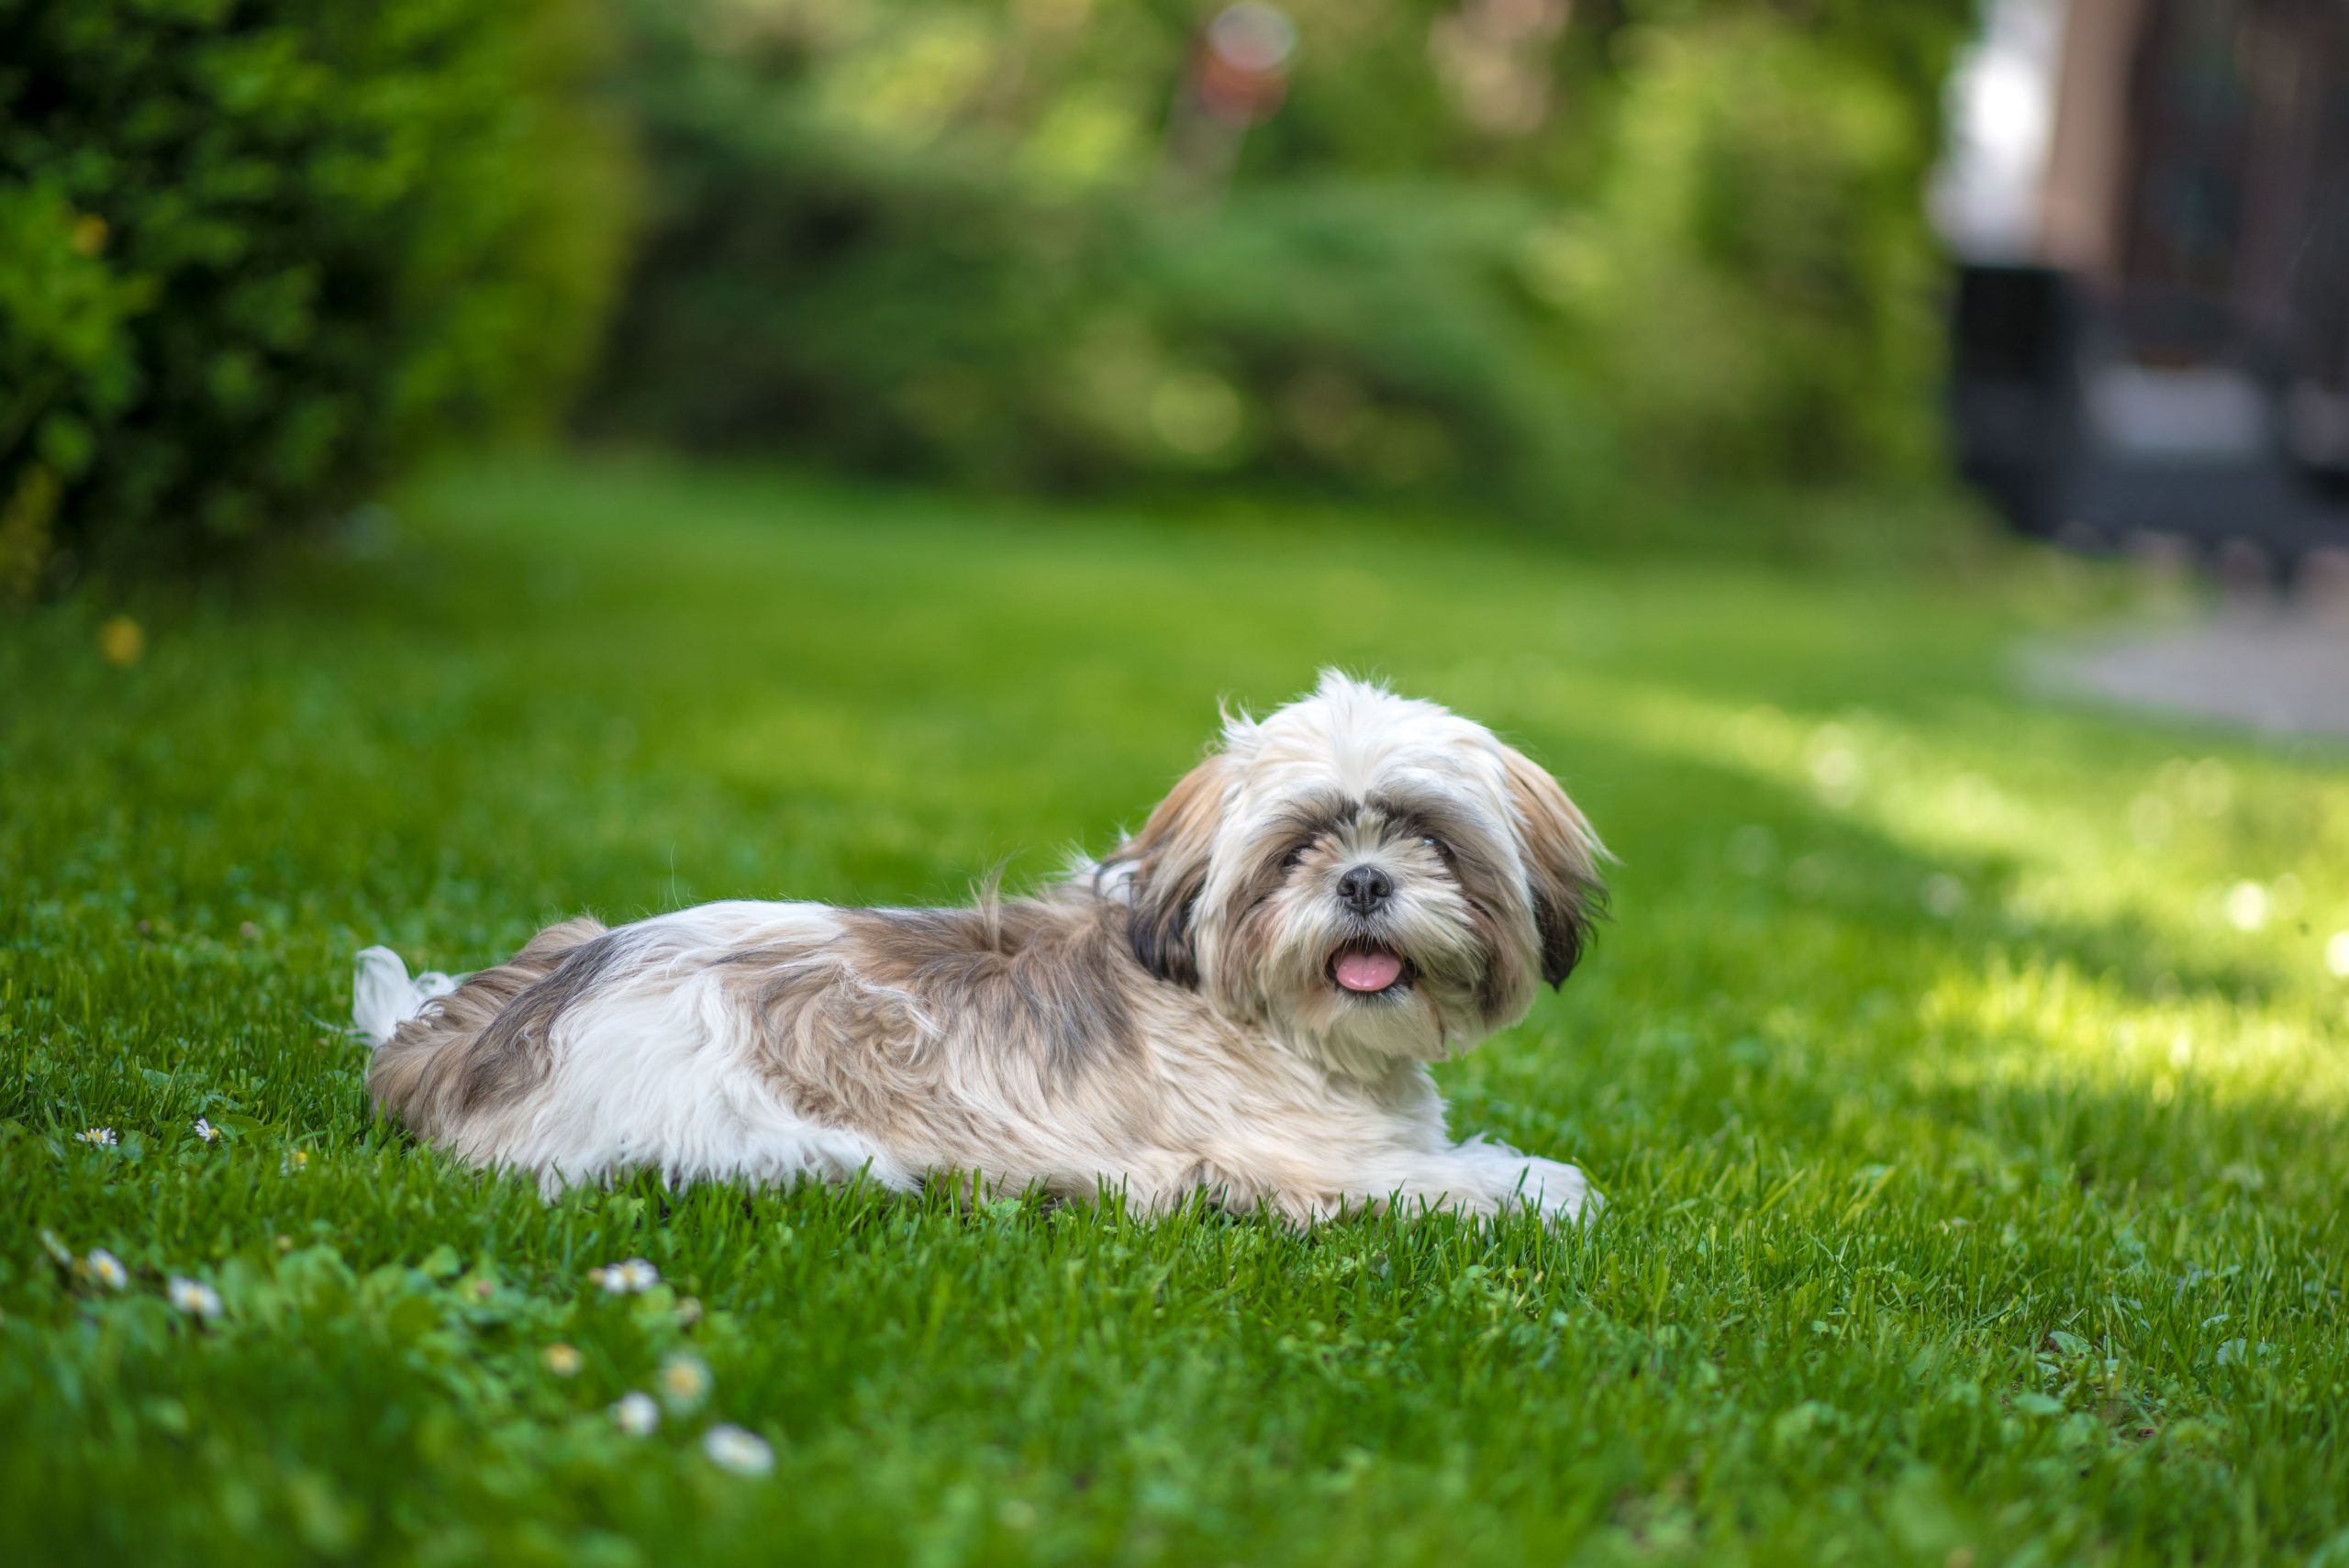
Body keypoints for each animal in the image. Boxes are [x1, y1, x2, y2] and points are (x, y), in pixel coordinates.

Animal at [357, 675, 1607, 1220]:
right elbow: (1512, 1182)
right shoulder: (1319, 1164)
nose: (1361, 879)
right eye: (1300, 845)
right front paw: (1542, 1183)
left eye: (1423, 835)